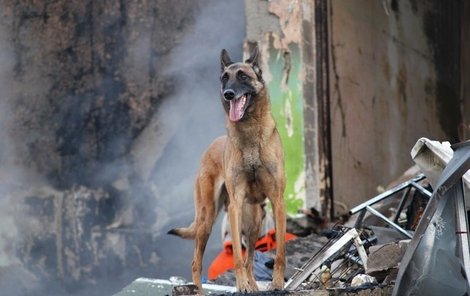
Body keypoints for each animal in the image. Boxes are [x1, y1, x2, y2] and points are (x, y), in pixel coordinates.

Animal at [169, 47, 286, 292]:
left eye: (243, 76)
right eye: (224, 78)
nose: (228, 94)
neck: (250, 135)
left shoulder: (278, 202)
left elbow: (279, 252)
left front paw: (277, 282)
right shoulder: (235, 206)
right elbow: (237, 259)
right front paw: (241, 285)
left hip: (254, 222)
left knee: (251, 259)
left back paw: (254, 285)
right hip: (207, 219)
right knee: (196, 263)